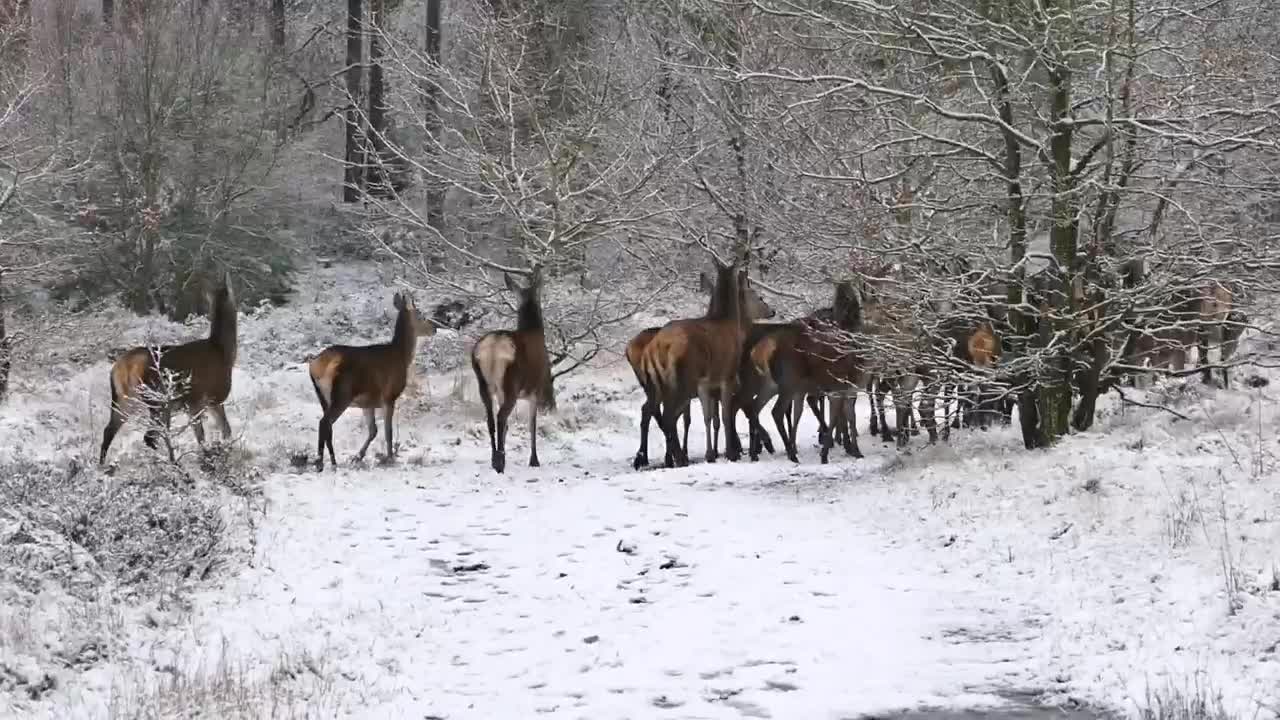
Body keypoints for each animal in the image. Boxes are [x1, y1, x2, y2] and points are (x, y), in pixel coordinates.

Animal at [99, 270, 238, 466]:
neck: (223, 351)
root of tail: (120, 368)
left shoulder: (208, 403)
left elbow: (224, 430)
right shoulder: (205, 399)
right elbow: (206, 436)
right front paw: (209, 459)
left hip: (125, 399)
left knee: (110, 430)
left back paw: (101, 465)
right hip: (157, 399)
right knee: (151, 436)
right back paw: (172, 463)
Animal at [307, 288, 437, 468]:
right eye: (421, 315)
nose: (435, 328)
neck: (402, 356)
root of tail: (315, 365)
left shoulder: (367, 402)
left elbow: (373, 430)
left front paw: (358, 456)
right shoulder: (389, 396)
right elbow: (388, 432)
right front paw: (390, 458)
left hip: (323, 397)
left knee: (328, 427)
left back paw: (331, 461)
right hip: (342, 394)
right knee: (324, 423)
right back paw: (324, 463)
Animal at [471, 266, 550, 474]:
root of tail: (492, 348)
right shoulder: (536, 389)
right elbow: (532, 424)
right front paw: (534, 460)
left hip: (484, 383)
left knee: (491, 419)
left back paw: (496, 459)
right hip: (511, 384)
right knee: (500, 417)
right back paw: (499, 462)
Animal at [627, 266, 773, 468]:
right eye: (759, 296)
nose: (772, 310)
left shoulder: (714, 389)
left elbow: (717, 417)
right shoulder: (730, 383)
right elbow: (731, 413)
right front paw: (742, 448)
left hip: (654, 386)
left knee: (650, 411)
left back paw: (648, 457)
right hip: (674, 386)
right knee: (663, 414)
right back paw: (670, 456)